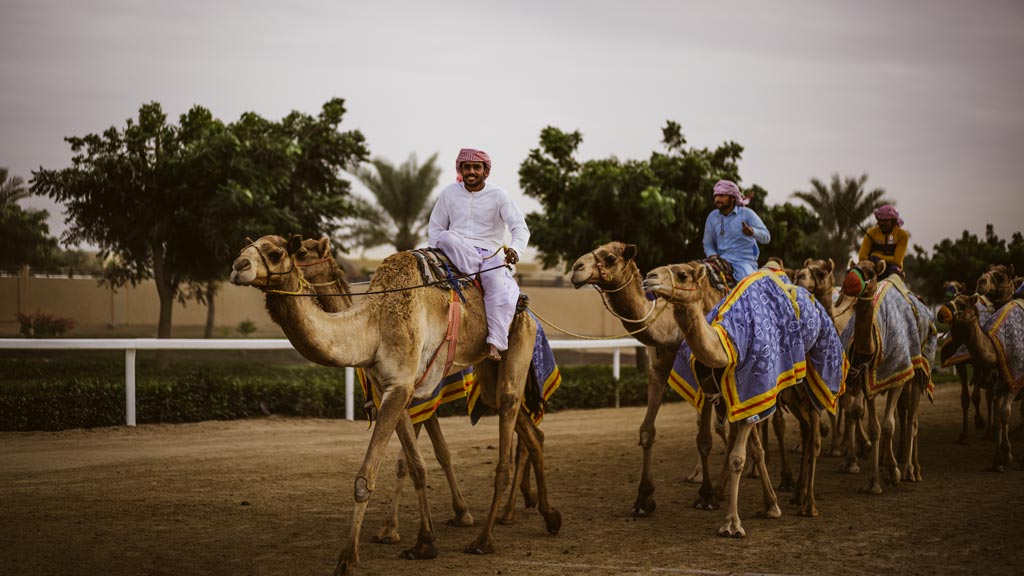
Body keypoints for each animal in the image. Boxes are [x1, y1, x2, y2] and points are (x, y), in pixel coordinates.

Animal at [230, 234, 561, 573]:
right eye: (246, 247)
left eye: (278, 252)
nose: (238, 266)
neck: (372, 325)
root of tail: (527, 308)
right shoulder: (392, 391)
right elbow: (415, 466)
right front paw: (423, 543)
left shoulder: (403, 389)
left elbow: (367, 477)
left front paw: (348, 559)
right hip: (487, 371)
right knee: (528, 429)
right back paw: (549, 516)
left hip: (517, 344)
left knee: (506, 437)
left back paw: (485, 539)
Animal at [569, 239, 729, 508]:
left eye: (610, 258)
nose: (576, 268)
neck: (672, 329)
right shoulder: (658, 367)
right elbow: (647, 431)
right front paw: (644, 498)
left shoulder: (704, 370)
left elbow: (705, 437)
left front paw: (707, 496)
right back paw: (697, 475)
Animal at [643, 262, 843, 532]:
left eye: (682, 274)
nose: (649, 277)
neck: (727, 344)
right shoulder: (735, 399)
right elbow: (750, 448)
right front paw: (770, 505)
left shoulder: (753, 391)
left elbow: (738, 457)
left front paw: (732, 523)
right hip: (790, 390)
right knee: (804, 428)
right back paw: (797, 493)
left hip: (816, 374)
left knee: (814, 437)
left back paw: (809, 504)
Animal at [839, 258, 937, 491]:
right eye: (851, 269)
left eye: (871, 273)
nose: (849, 282)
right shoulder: (868, 383)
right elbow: (875, 428)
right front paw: (874, 481)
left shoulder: (898, 374)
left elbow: (888, 425)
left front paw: (893, 472)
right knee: (906, 415)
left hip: (918, 372)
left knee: (912, 420)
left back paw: (912, 470)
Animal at [942, 293, 1024, 469]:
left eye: (962, 304)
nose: (941, 313)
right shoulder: (997, 381)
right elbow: (998, 414)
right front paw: (998, 458)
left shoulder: (1015, 379)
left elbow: (1004, 412)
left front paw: (1007, 454)